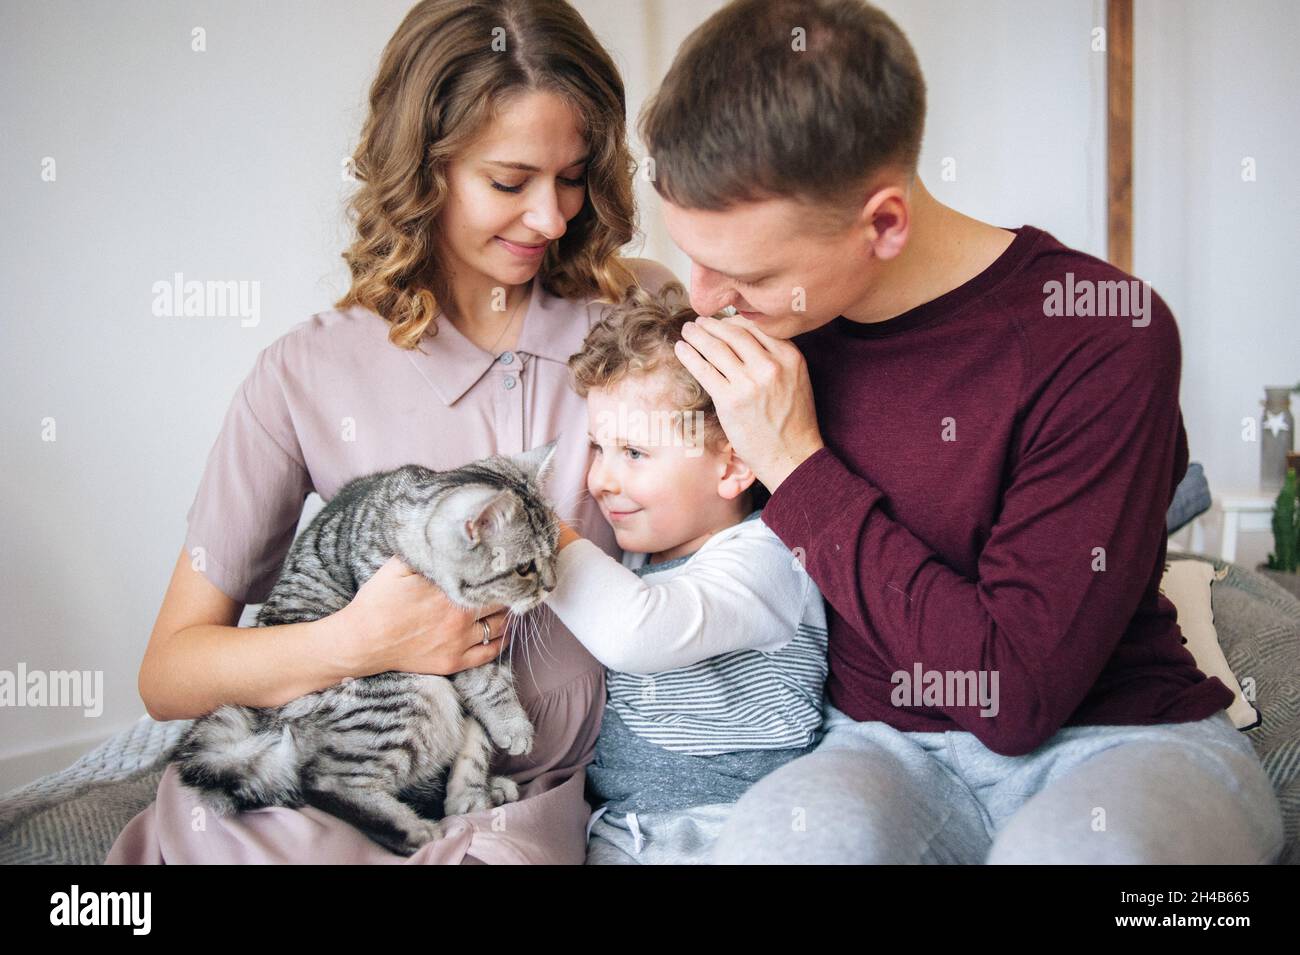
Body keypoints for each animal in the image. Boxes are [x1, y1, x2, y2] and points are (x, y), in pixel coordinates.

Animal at [170, 436, 561, 857]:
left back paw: (482, 793)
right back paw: (414, 829)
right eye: (524, 568)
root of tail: (260, 721)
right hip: (413, 693)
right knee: (324, 780)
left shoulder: (488, 651)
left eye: (554, 550)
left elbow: (481, 727)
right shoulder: (456, 652)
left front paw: (478, 779)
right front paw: (514, 726)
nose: (553, 584)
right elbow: (489, 686)